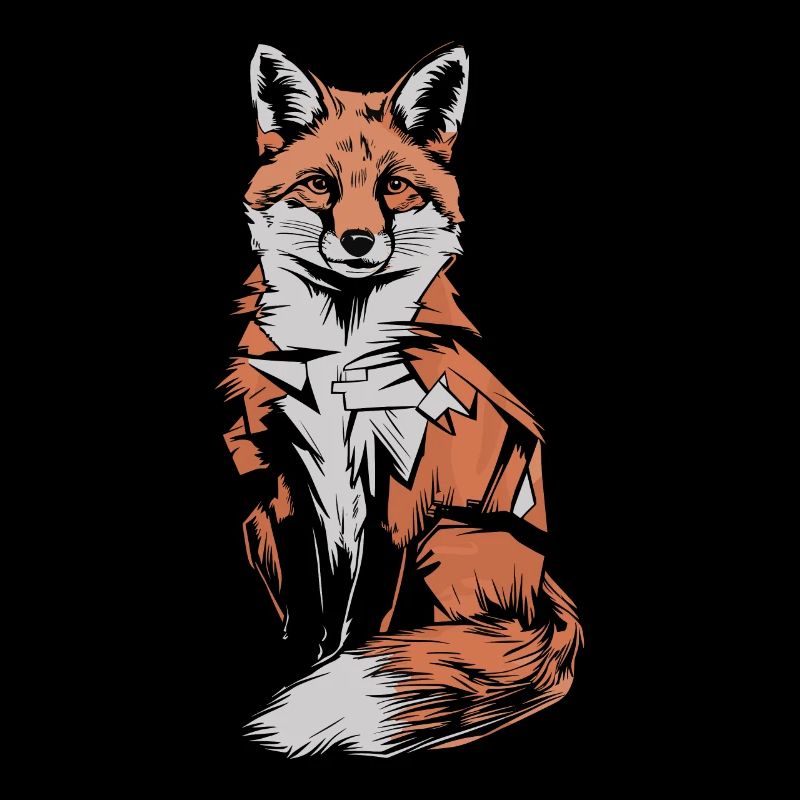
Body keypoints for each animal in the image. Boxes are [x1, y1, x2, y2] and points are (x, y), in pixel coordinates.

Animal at [222, 43, 582, 756]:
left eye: (394, 187)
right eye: (319, 186)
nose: (359, 242)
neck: (338, 361)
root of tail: (546, 584)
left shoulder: (402, 494)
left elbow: (365, 624)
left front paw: (337, 682)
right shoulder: (284, 482)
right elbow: (309, 612)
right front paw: (297, 677)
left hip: (452, 539)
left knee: (476, 634)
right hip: (256, 526)